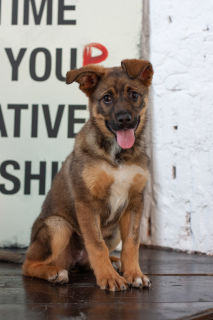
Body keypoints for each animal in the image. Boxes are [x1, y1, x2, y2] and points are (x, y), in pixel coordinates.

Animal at [22, 58, 154, 292]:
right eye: (107, 98)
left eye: (134, 95)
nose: (124, 119)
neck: (117, 155)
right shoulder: (86, 202)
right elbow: (96, 244)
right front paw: (109, 278)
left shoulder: (134, 203)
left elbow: (132, 242)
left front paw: (134, 274)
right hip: (58, 226)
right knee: (28, 264)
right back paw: (54, 273)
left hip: (114, 230)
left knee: (89, 261)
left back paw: (115, 262)